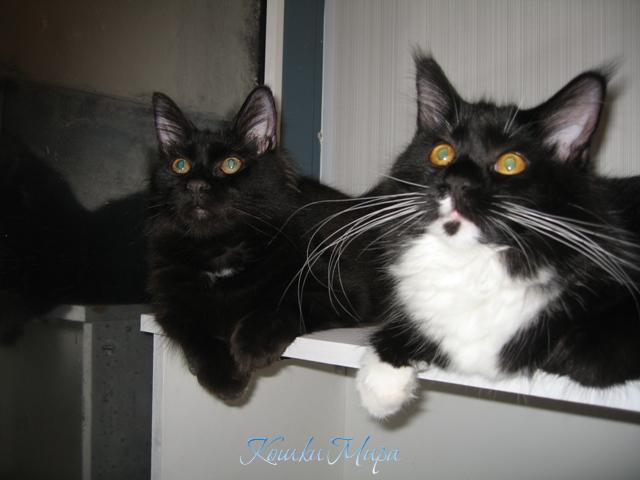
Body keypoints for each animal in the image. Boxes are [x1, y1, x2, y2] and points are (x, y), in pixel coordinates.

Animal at [146, 86, 376, 401]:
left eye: (231, 164)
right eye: (180, 166)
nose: (195, 186)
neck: (221, 247)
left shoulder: (342, 289)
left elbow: (285, 302)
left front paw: (251, 344)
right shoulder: (168, 302)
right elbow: (194, 331)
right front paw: (223, 375)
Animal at [352, 54, 640, 418]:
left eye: (510, 163)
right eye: (442, 154)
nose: (457, 181)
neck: (474, 262)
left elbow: (569, 356)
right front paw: (381, 384)